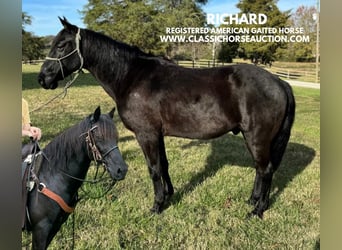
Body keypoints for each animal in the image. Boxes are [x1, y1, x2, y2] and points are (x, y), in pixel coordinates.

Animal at [22, 106, 127, 249]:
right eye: (98, 136)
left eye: (116, 136)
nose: (122, 170)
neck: (52, 177)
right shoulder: (40, 230)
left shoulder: (54, 227)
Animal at [36, 17, 294, 219]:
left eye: (62, 45)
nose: (42, 78)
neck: (131, 76)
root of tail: (279, 82)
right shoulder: (157, 134)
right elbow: (164, 165)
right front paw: (169, 195)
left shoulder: (146, 134)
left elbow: (154, 168)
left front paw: (157, 206)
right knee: (261, 170)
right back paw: (253, 200)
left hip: (257, 138)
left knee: (266, 170)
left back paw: (257, 210)